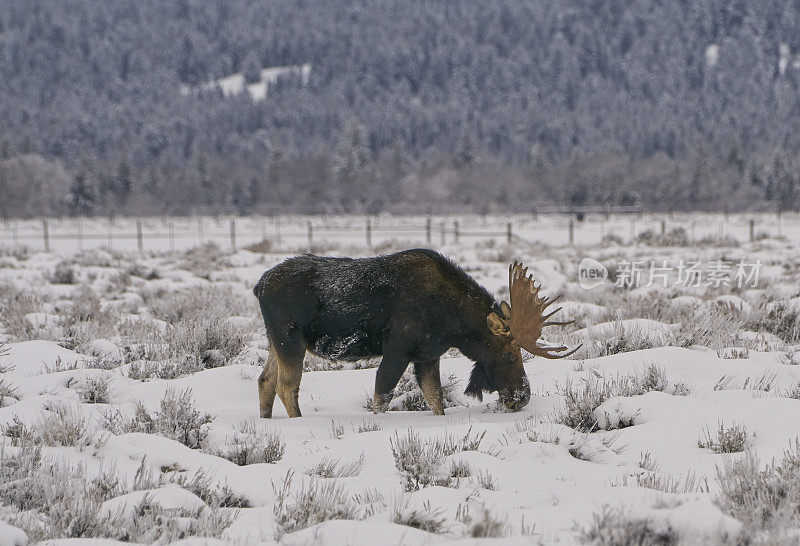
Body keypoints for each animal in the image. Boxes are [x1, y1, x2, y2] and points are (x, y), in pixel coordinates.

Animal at [253, 248, 580, 416]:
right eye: (512, 354)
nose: (523, 397)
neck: (452, 324)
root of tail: (258, 286)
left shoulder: (427, 355)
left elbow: (436, 400)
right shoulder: (398, 349)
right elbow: (381, 397)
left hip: (275, 340)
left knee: (265, 380)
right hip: (290, 337)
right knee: (286, 386)